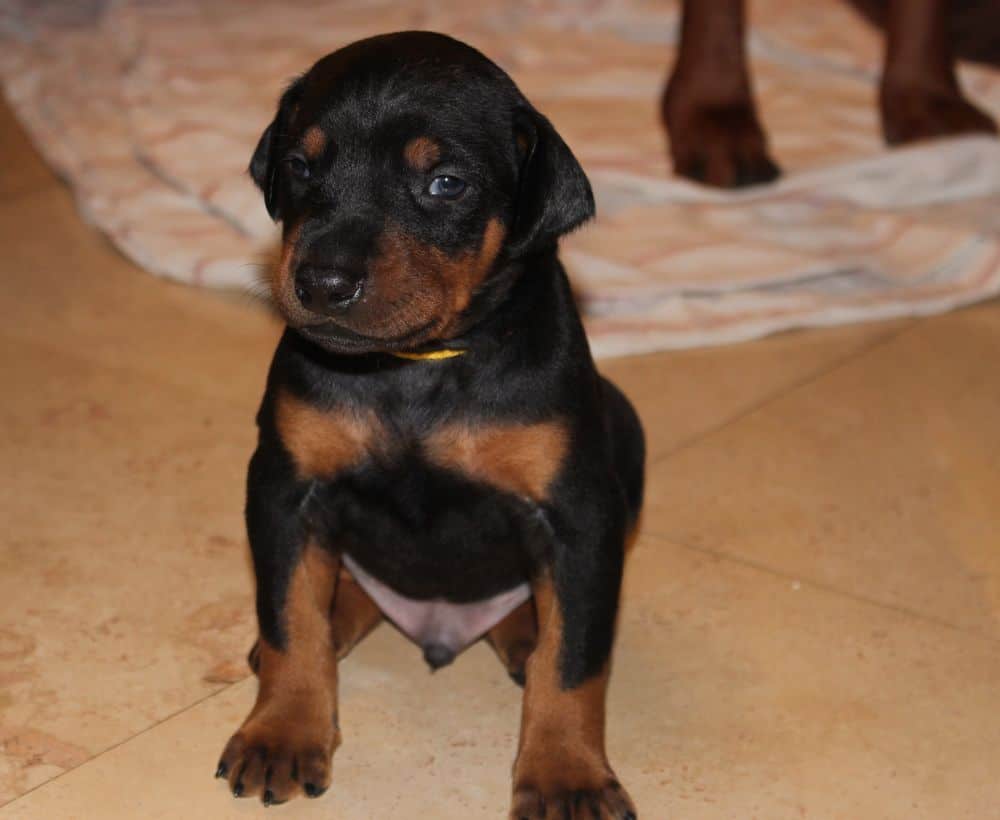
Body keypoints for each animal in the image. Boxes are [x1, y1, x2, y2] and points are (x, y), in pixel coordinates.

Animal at [215, 28, 644, 816]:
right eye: (300, 166)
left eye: (446, 183)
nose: (321, 281)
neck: (416, 364)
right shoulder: (285, 488)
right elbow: (290, 617)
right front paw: (282, 732)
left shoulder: (579, 514)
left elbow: (573, 663)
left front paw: (565, 775)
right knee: (333, 598)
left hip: (624, 430)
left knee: (547, 616)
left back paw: (525, 632)